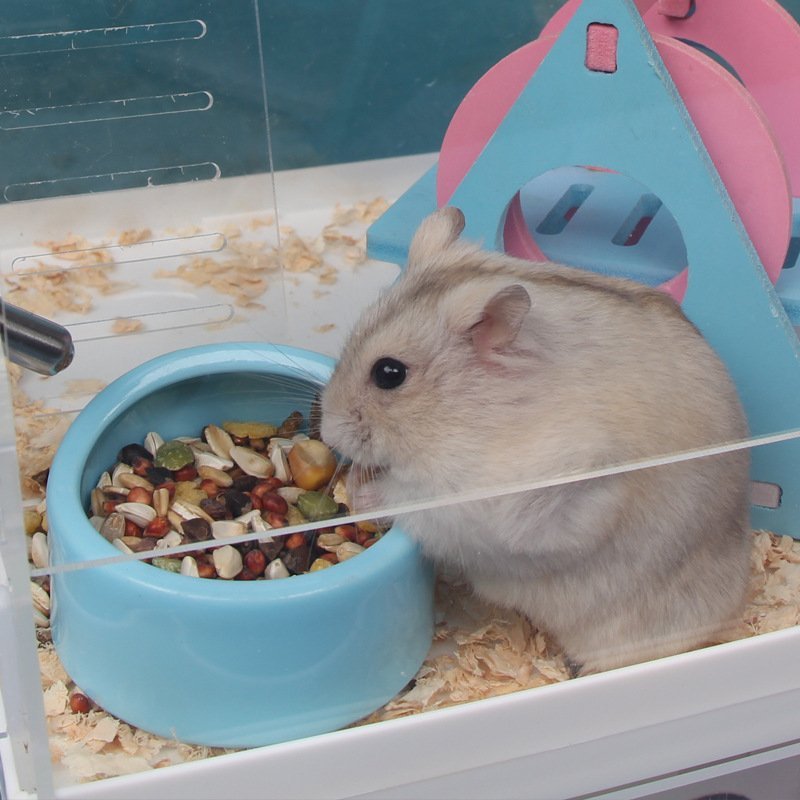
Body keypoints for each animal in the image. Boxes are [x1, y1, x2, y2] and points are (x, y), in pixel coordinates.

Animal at [320, 207, 752, 674]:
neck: (465, 415)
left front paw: (358, 493)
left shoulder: (498, 502)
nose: (327, 431)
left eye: (389, 373)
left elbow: (412, 500)